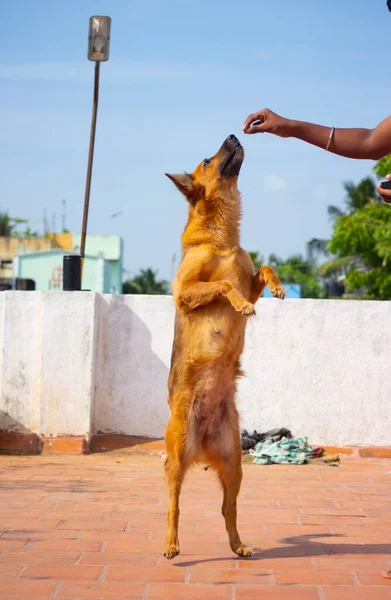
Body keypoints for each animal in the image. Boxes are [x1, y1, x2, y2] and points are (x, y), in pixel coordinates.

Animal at [163, 134, 284, 560]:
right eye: (206, 159)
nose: (234, 134)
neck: (223, 238)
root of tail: (202, 448)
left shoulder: (249, 275)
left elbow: (261, 268)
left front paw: (278, 286)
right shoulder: (184, 293)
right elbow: (224, 285)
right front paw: (241, 306)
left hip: (234, 464)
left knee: (226, 508)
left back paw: (238, 545)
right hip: (177, 455)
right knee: (174, 504)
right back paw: (171, 544)